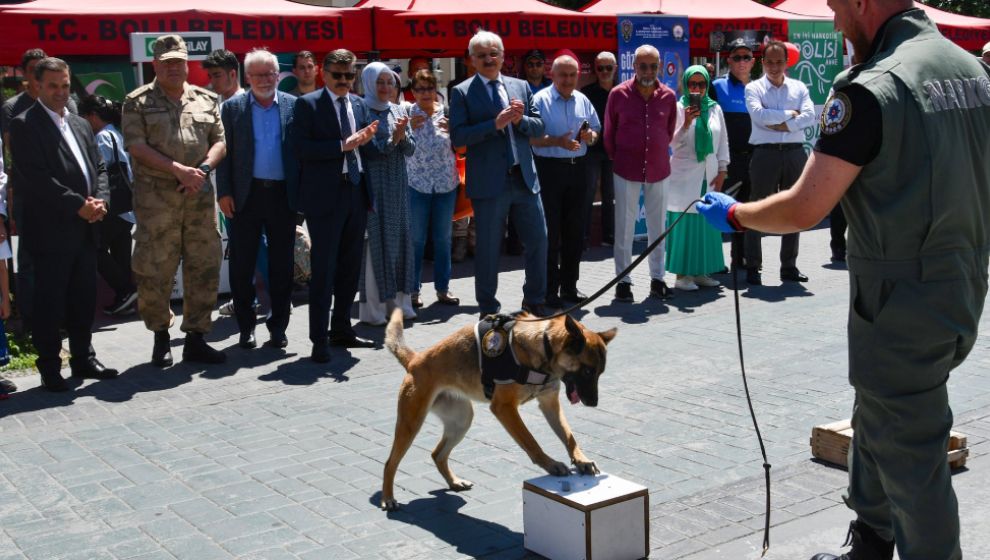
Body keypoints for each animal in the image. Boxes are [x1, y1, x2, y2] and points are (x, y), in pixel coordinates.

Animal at [384, 308, 616, 510]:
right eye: (587, 371)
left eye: (600, 373)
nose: (594, 403)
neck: (543, 344)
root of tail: (414, 360)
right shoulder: (505, 409)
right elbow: (531, 442)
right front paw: (550, 464)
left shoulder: (550, 404)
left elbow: (569, 437)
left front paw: (581, 460)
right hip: (411, 424)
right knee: (390, 462)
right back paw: (388, 498)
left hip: (461, 421)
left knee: (437, 454)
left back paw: (454, 481)